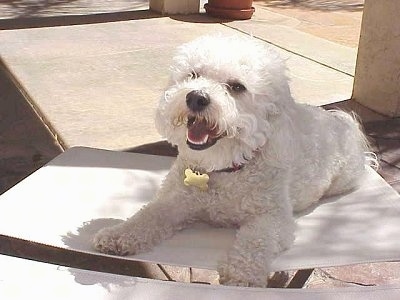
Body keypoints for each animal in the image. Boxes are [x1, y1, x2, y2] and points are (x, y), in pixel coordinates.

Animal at [93, 34, 368, 288]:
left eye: (237, 87)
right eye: (193, 75)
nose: (196, 97)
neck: (223, 169)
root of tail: (346, 124)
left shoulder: (273, 217)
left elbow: (256, 240)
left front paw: (242, 276)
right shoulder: (176, 202)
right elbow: (149, 214)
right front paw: (119, 234)